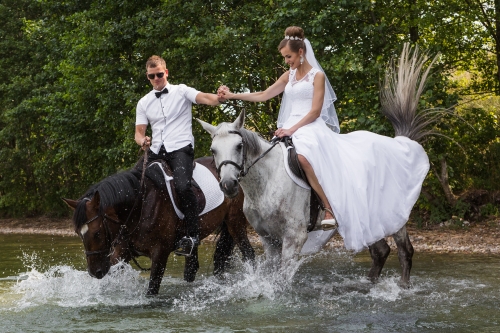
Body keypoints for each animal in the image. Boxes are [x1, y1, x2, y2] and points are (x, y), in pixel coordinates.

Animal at [63, 156, 256, 294]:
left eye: (96, 233)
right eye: (79, 234)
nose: (95, 272)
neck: (139, 207)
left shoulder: (160, 254)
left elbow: (152, 291)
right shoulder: (121, 253)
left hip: (235, 222)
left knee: (249, 253)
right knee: (195, 267)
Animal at [197, 44, 440, 286]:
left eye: (239, 146)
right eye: (213, 150)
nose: (228, 185)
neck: (265, 184)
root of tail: (400, 144)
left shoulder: (294, 237)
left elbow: (281, 281)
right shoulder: (268, 239)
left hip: (393, 216)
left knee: (404, 251)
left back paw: (403, 287)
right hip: (367, 219)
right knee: (380, 251)